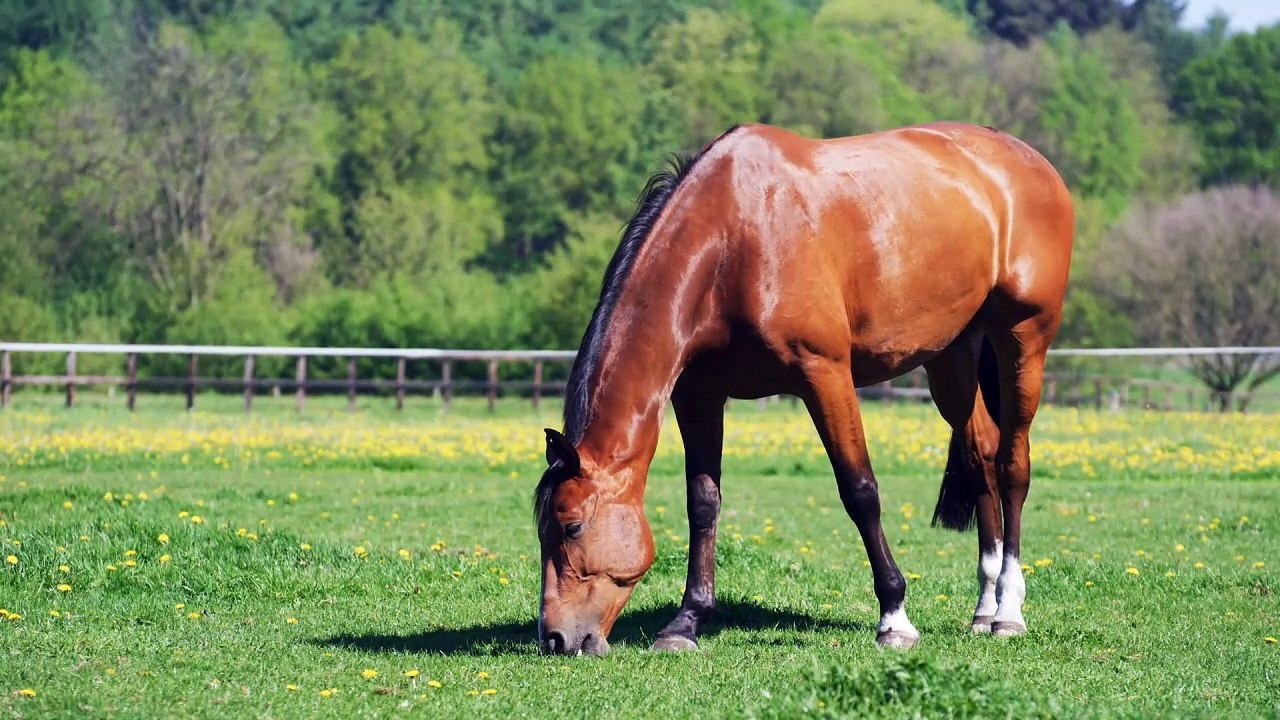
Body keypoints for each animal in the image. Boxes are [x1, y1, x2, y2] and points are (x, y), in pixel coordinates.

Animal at [534, 122, 1074, 655]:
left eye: (572, 525)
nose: (556, 638)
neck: (732, 241)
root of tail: (1030, 162)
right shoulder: (698, 394)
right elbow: (702, 502)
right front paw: (686, 622)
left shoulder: (825, 375)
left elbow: (860, 491)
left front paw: (894, 618)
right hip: (951, 356)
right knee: (981, 456)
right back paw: (983, 608)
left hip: (1022, 338)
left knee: (1012, 466)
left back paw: (1008, 610)